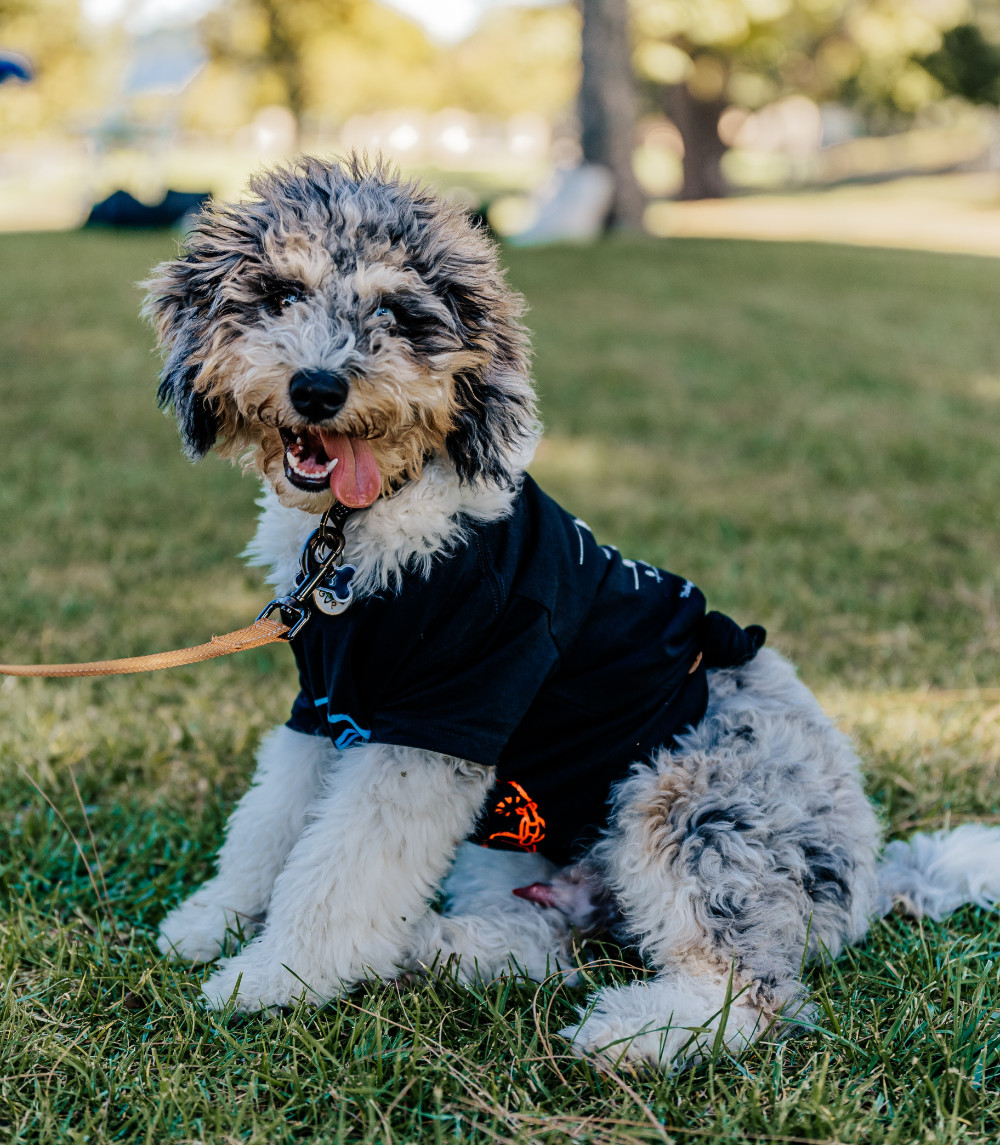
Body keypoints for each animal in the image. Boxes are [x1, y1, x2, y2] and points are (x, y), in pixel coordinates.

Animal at [142, 156, 998, 1067]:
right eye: (278, 294)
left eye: (399, 316)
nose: (316, 387)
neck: (365, 537)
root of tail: (869, 883)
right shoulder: (327, 706)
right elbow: (271, 823)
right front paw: (213, 920)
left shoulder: (443, 717)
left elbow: (342, 869)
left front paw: (273, 976)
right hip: (515, 851)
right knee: (552, 943)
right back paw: (438, 946)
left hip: (684, 802)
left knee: (745, 990)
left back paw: (628, 1030)